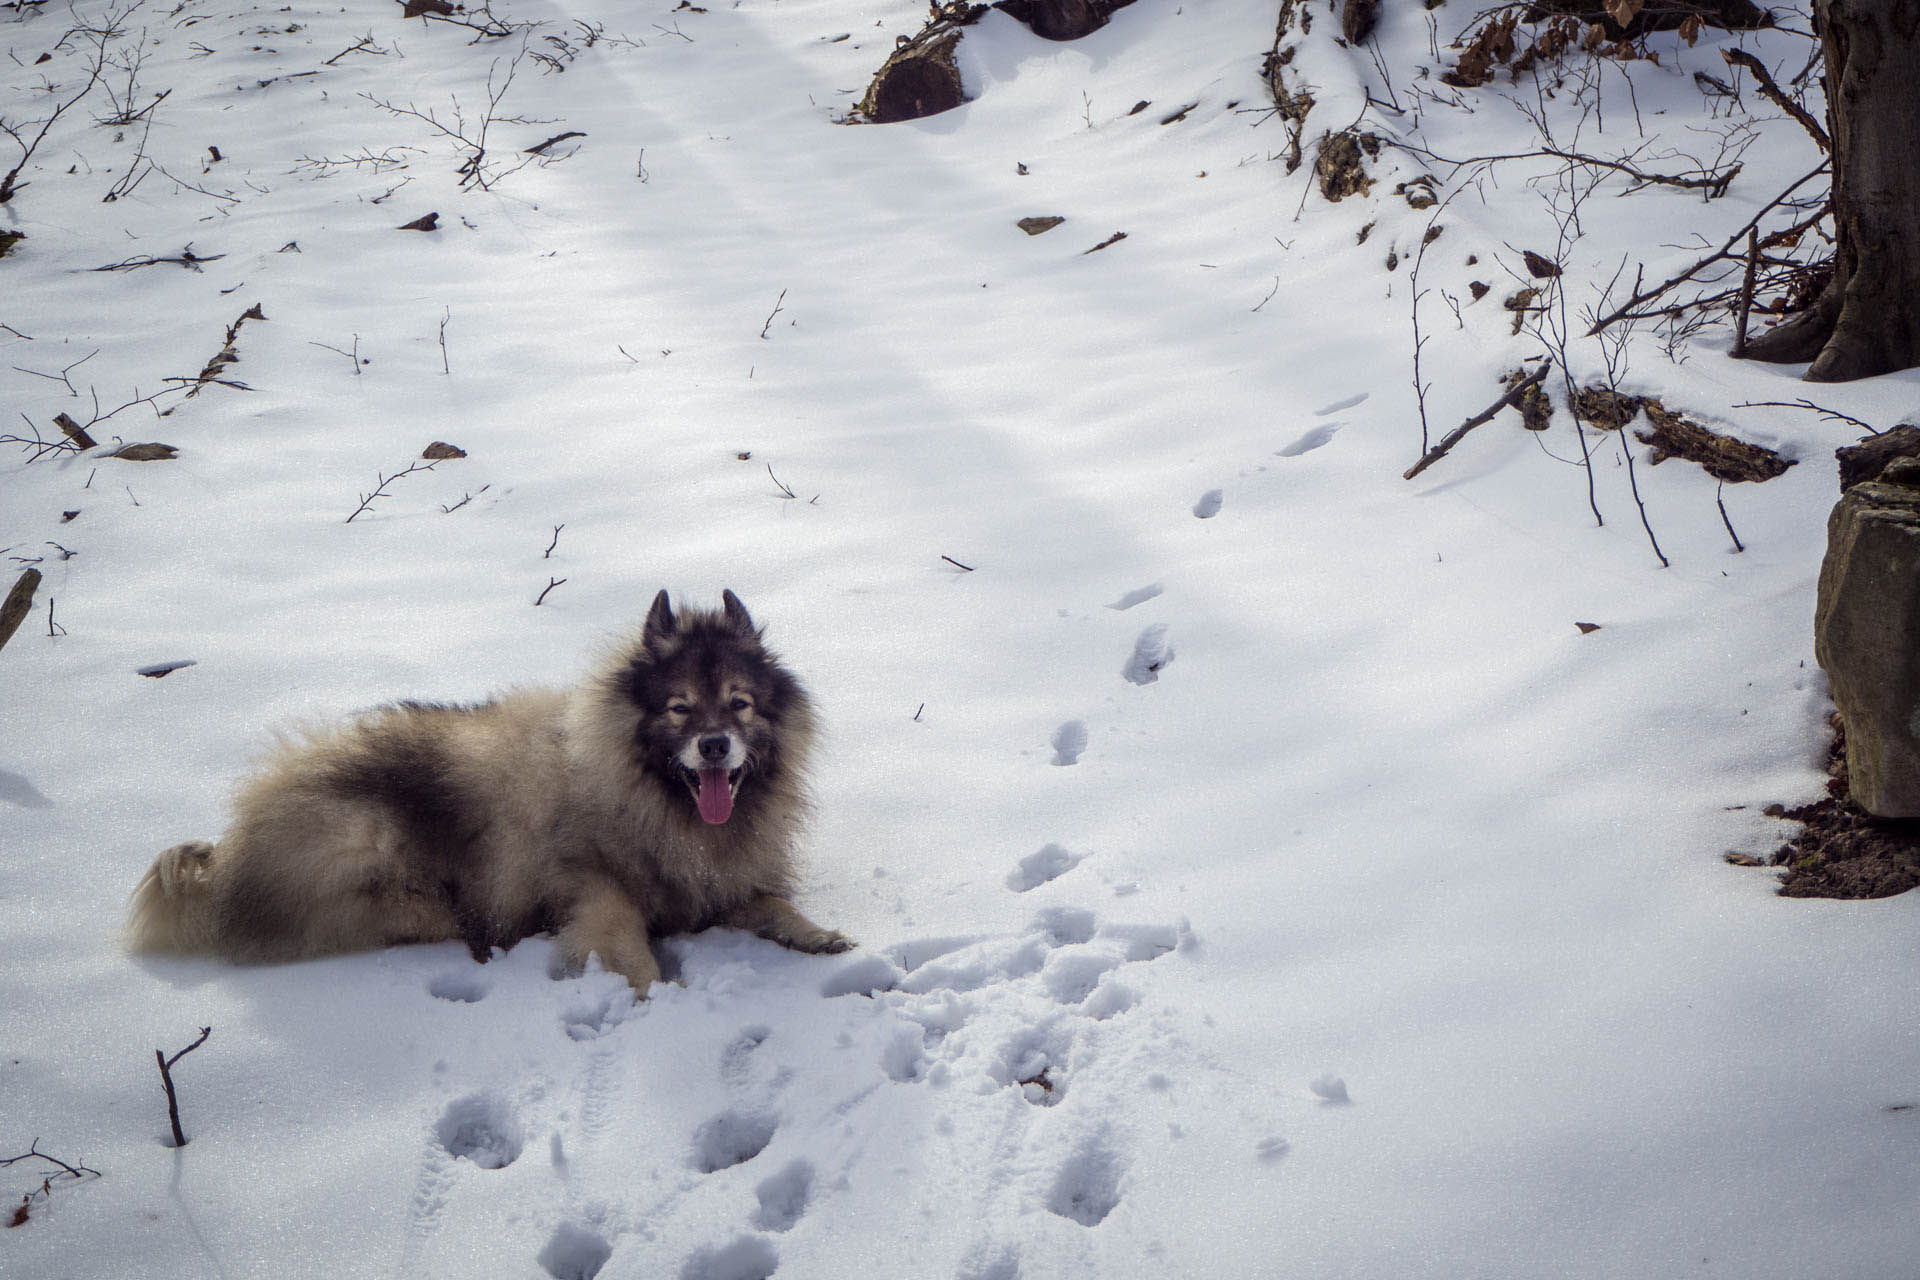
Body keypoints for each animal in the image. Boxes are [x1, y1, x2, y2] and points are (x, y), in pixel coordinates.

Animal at [131, 594, 852, 997]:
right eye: (679, 708)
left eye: (739, 703)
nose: (714, 745)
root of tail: (228, 855)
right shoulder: (597, 892)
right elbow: (626, 944)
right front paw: (656, 993)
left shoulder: (716, 884)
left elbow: (773, 904)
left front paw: (816, 935)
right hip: (370, 852)